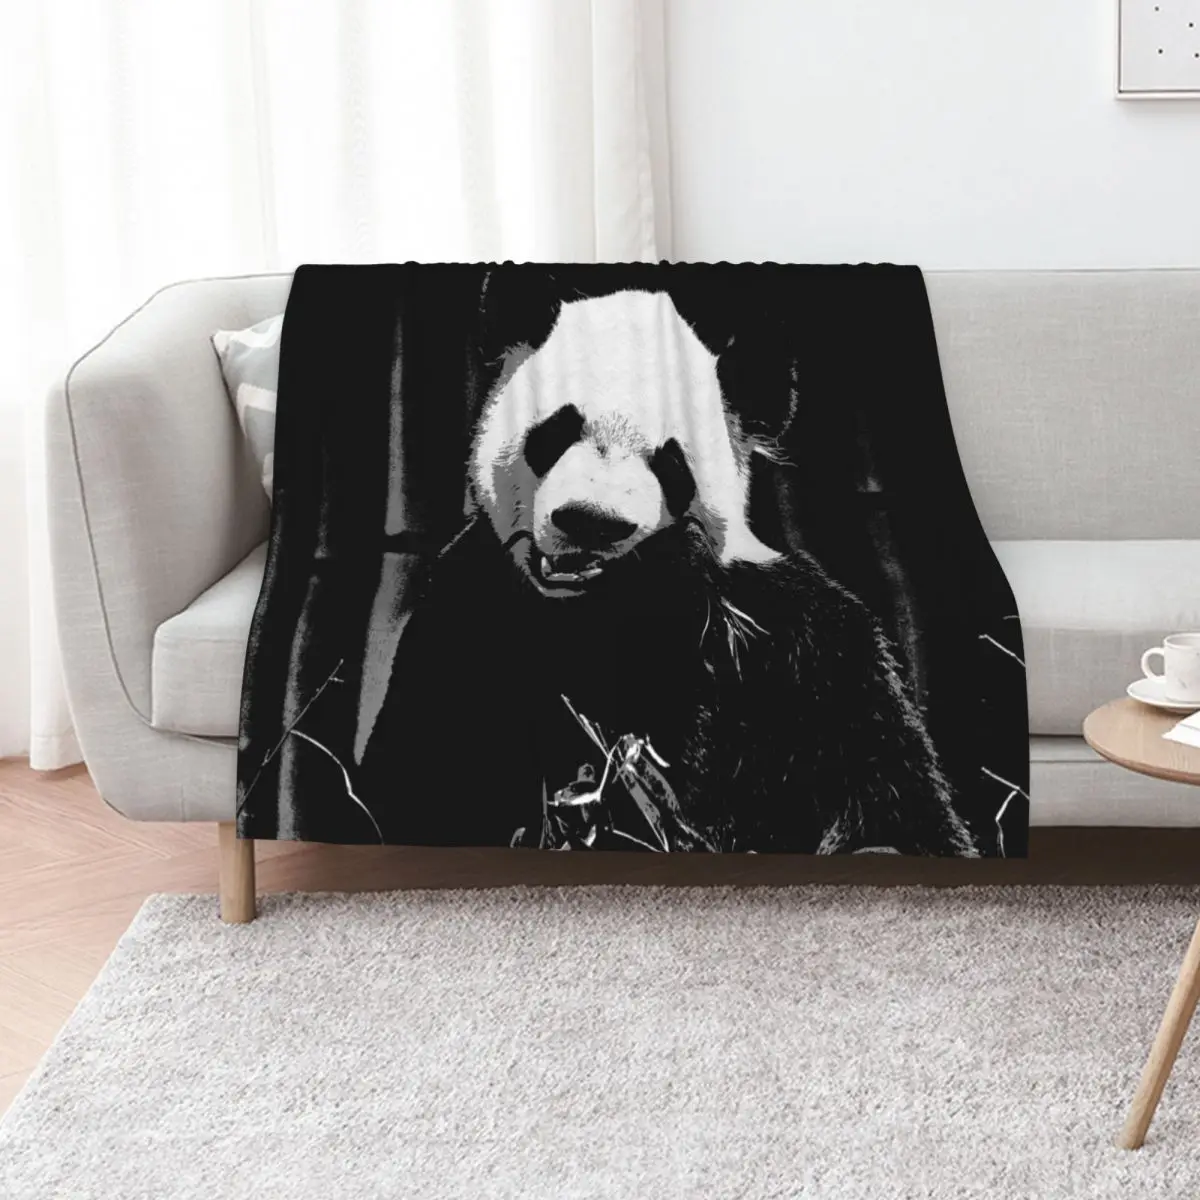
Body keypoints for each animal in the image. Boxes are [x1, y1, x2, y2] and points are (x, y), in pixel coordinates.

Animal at [359, 287, 978, 857]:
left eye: (671, 463)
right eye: (556, 432)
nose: (593, 522)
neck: (582, 609)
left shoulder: (795, 650)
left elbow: (884, 790)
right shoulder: (468, 610)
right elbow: (429, 781)